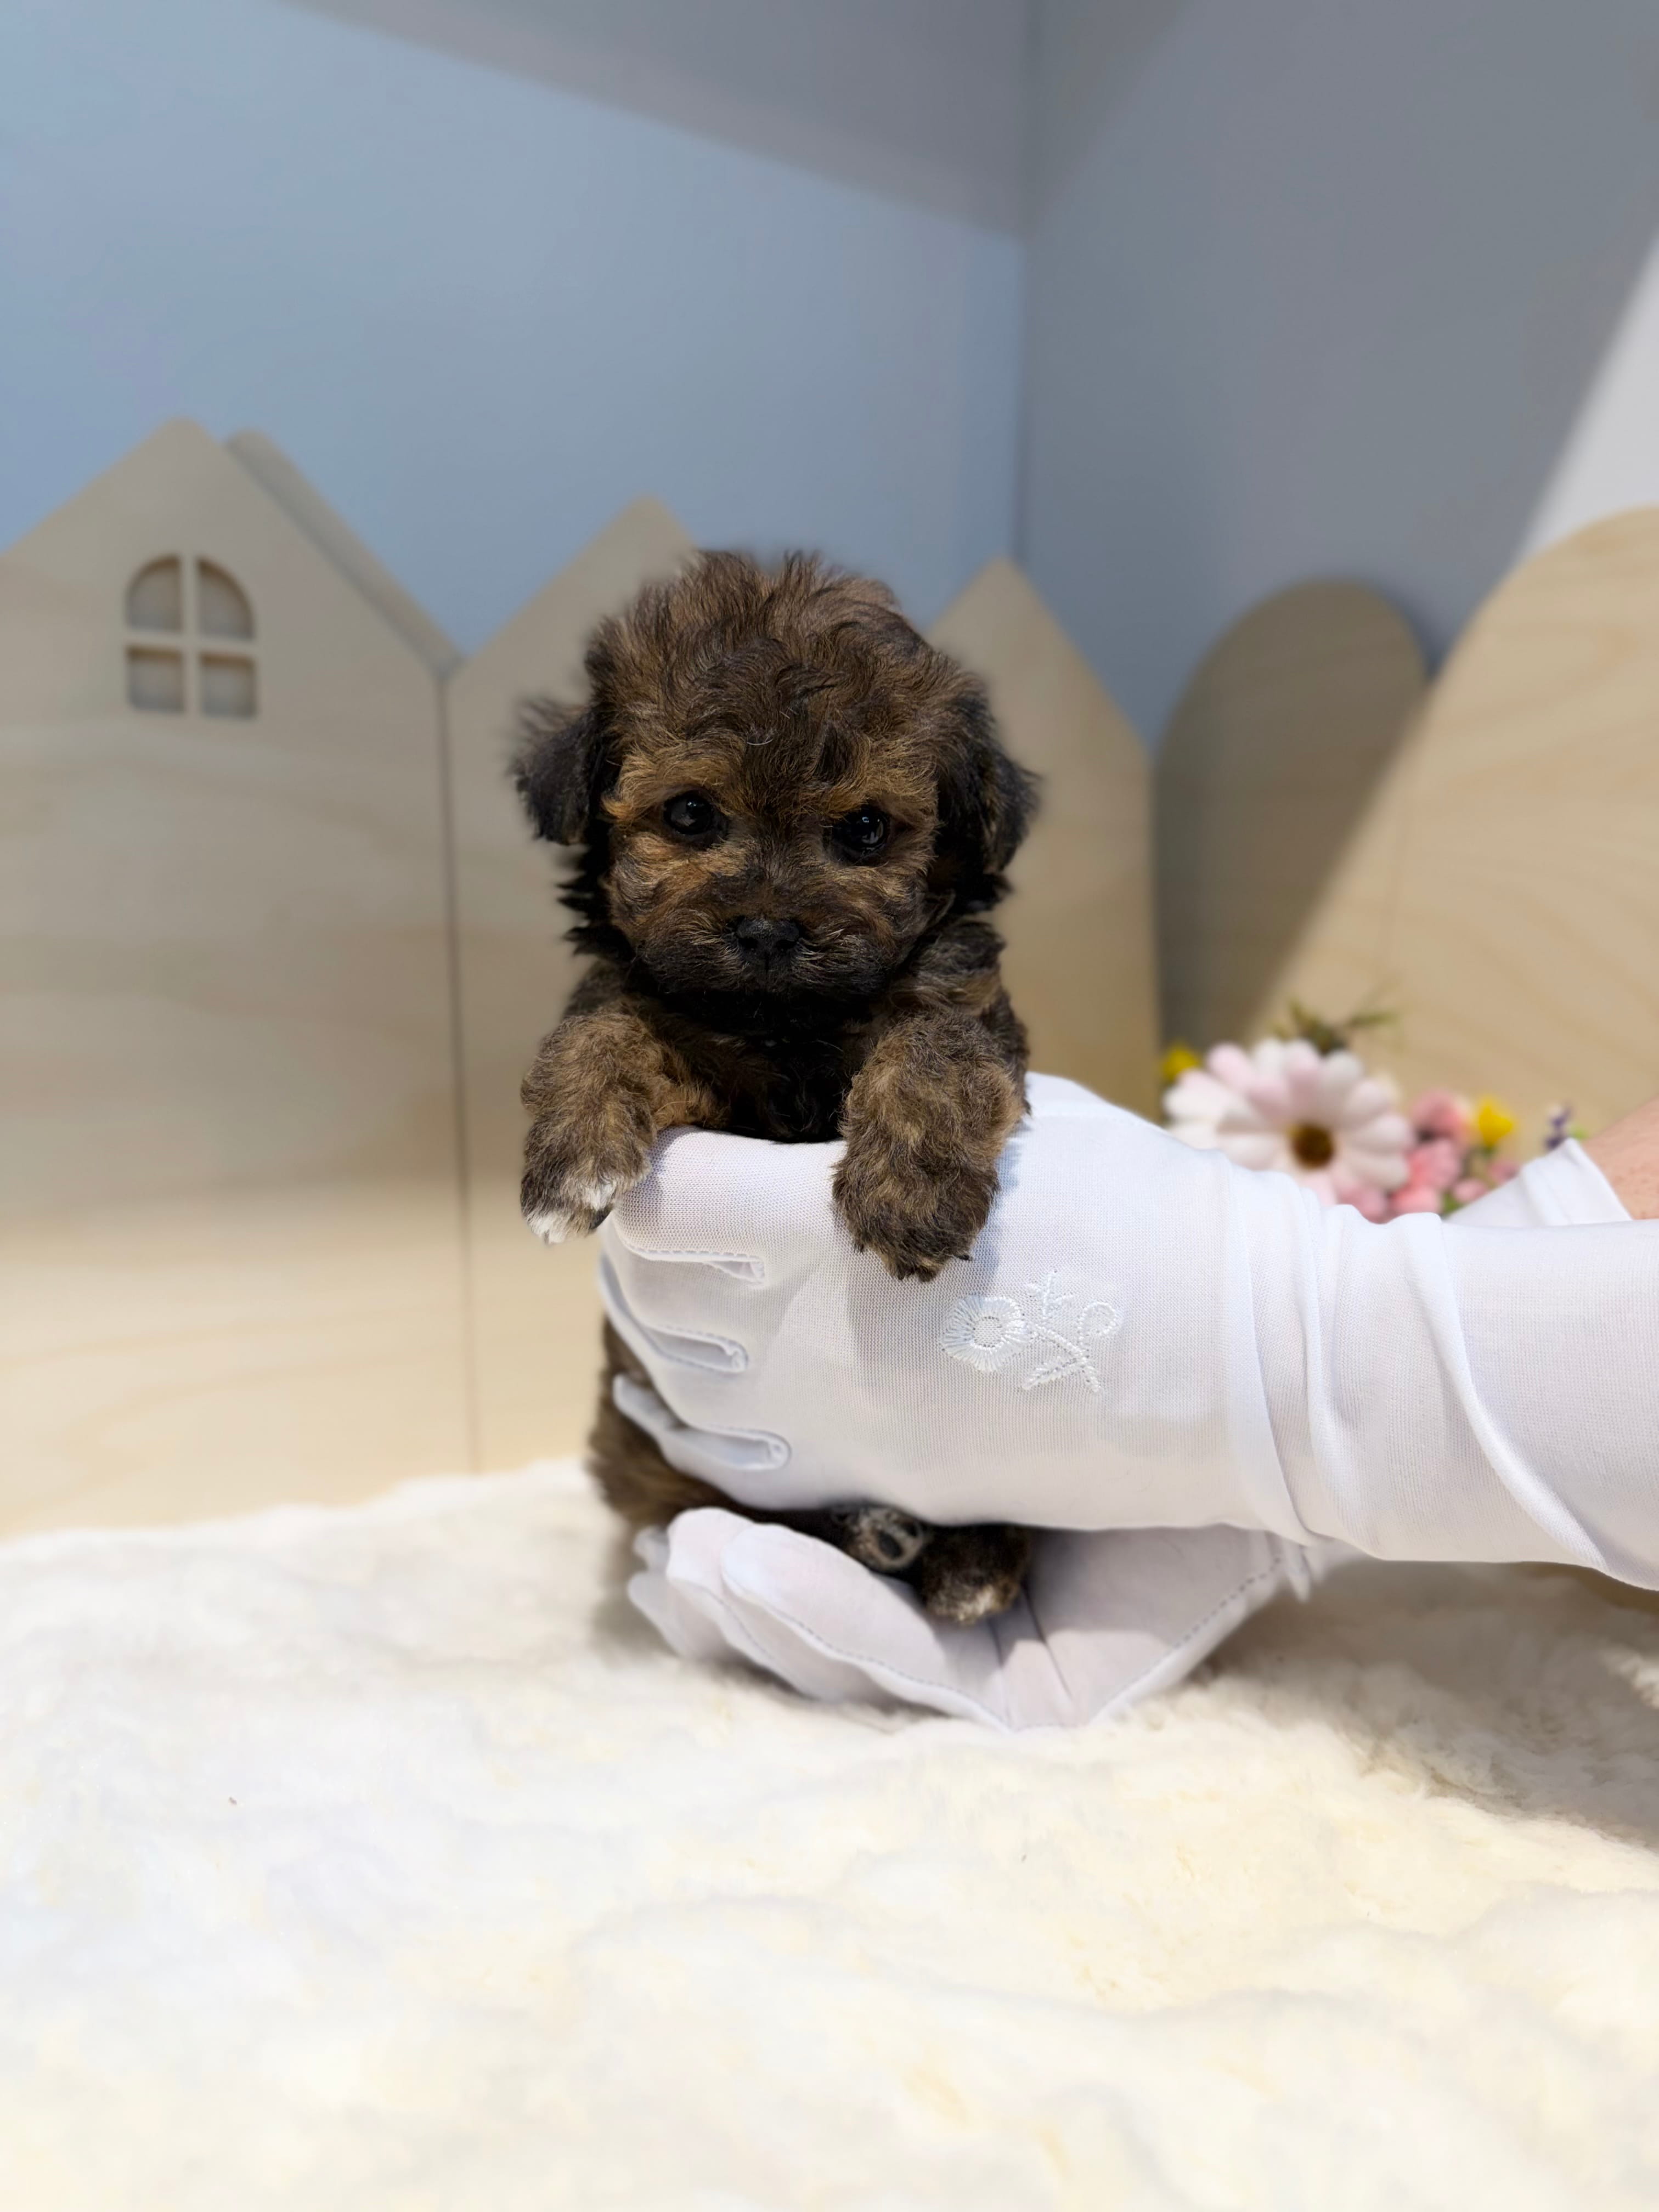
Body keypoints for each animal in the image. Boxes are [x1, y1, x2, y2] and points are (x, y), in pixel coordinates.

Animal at [513, 550, 1037, 1624]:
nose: (764, 930)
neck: (784, 1021)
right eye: (689, 814)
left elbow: (933, 1049)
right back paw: (872, 1531)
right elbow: (604, 1029)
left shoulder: (966, 1006)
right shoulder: (680, 1031)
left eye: (867, 830)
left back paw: (972, 1555)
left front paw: (911, 1194)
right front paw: (572, 1153)